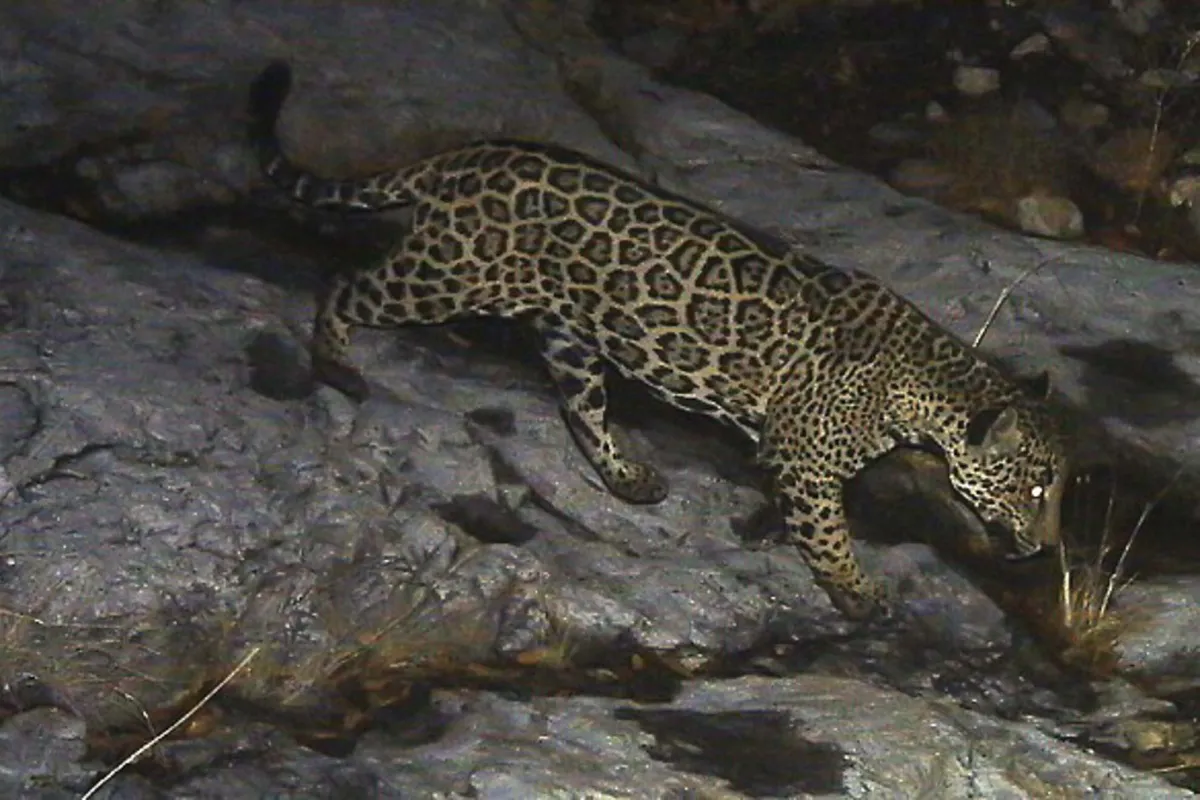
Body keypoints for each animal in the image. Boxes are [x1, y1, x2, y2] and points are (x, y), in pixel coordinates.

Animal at [246, 60, 1069, 620]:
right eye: (1033, 489)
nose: (1046, 546)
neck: (925, 387)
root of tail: (465, 156)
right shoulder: (806, 462)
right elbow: (830, 534)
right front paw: (857, 592)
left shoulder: (786, 452)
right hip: (448, 274)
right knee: (347, 284)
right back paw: (335, 361)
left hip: (571, 334)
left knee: (581, 408)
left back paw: (627, 478)